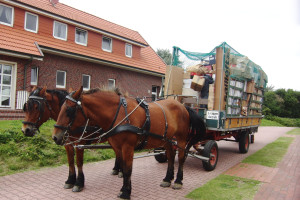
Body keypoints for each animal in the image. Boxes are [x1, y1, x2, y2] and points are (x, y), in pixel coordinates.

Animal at [52, 86, 206, 199]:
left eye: (69, 110)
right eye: (60, 108)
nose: (55, 137)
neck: (119, 114)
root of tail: (183, 105)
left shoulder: (127, 147)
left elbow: (127, 169)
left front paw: (125, 192)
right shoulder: (118, 147)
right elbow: (124, 167)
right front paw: (126, 188)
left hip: (181, 139)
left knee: (181, 158)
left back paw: (178, 181)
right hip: (167, 139)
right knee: (170, 156)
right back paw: (167, 179)